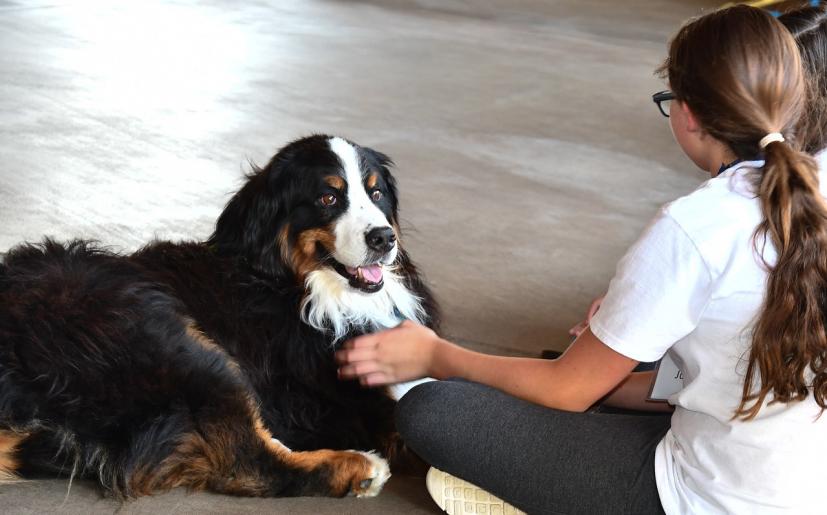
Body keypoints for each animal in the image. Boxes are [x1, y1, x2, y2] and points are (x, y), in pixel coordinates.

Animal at [0, 136, 440, 500]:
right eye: (328, 198)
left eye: (376, 192)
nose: (384, 238)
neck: (297, 288)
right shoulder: (334, 396)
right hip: (170, 341)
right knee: (248, 464)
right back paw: (358, 469)